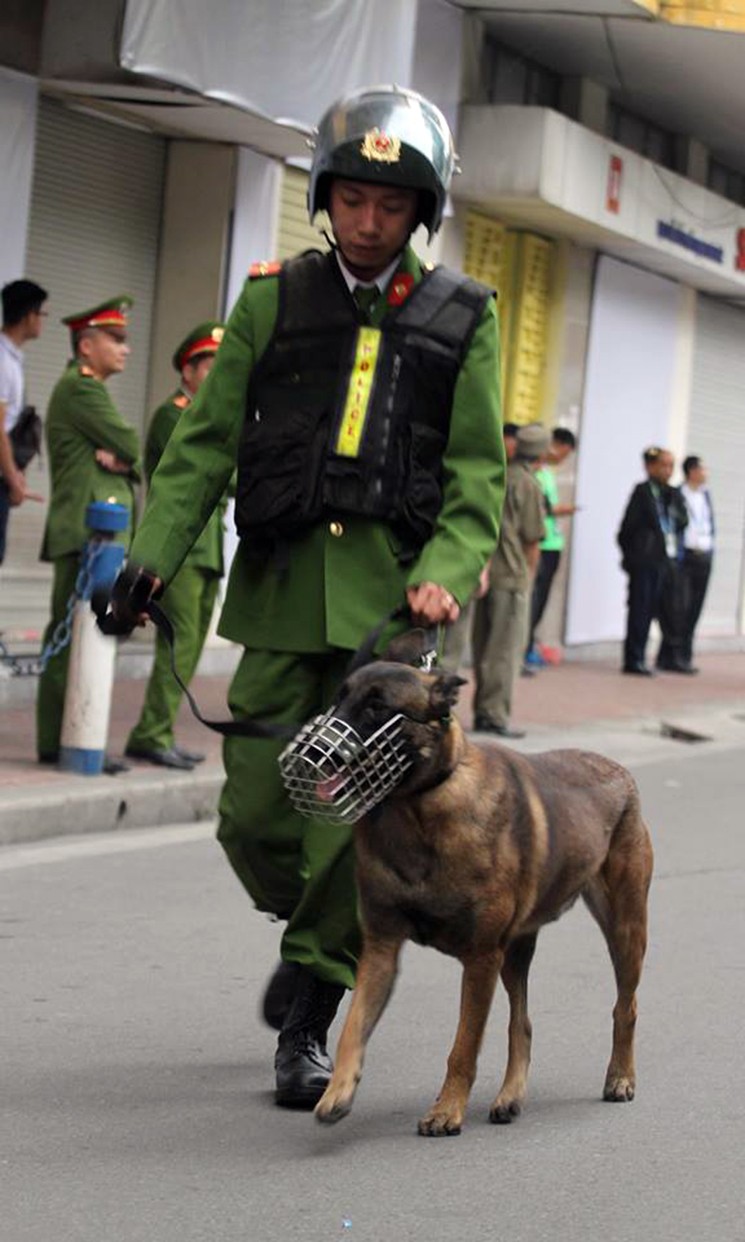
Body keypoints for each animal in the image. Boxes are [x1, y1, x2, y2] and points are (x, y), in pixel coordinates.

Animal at [312, 640, 650, 1137]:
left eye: (378, 707)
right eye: (339, 699)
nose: (322, 750)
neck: (418, 807)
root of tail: (618, 770)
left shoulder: (480, 958)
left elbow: (464, 1045)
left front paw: (447, 1109)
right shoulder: (382, 949)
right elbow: (353, 1027)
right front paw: (338, 1090)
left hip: (623, 931)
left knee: (625, 1007)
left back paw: (621, 1077)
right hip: (516, 954)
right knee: (521, 1023)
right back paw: (510, 1096)